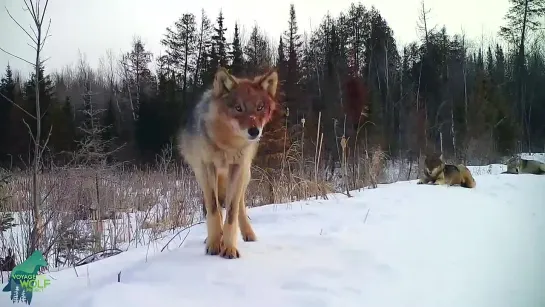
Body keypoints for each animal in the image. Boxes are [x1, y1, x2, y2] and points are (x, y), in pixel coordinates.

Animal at [178, 68, 278, 260]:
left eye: (259, 107)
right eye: (238, 108)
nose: (254, 131)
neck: (228, 145)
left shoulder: (237, 168)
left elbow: (231, 212)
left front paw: (229, 248)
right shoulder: (207, 167)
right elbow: (214, 209)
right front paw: (214, 244)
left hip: (245, 175)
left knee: (239, 206)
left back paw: (248, 234)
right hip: (203, 175)